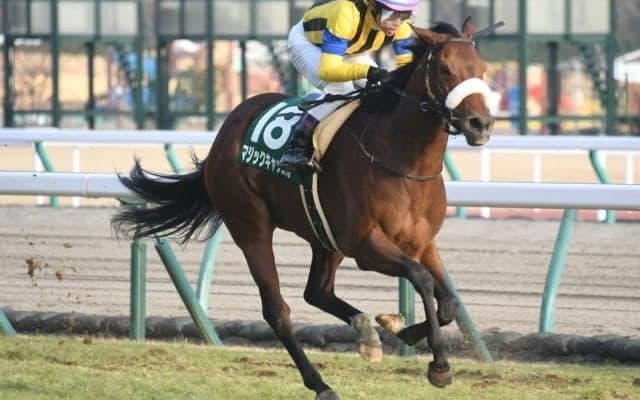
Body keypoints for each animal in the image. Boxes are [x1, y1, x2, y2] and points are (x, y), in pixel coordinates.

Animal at [113, 17, 493, 400]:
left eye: (482, 69)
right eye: (445, 69)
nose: (481, 124)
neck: (404, 163)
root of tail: (227, 129)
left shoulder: (422, 242)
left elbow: (450, 302)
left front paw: (400, 329)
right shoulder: (365, 246)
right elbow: (423, 280)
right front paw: (439, 366)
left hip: (323, 235)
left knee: (318, 291)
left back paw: (366, 334)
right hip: (251, 226)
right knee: (277, 310)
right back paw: (321, 383)